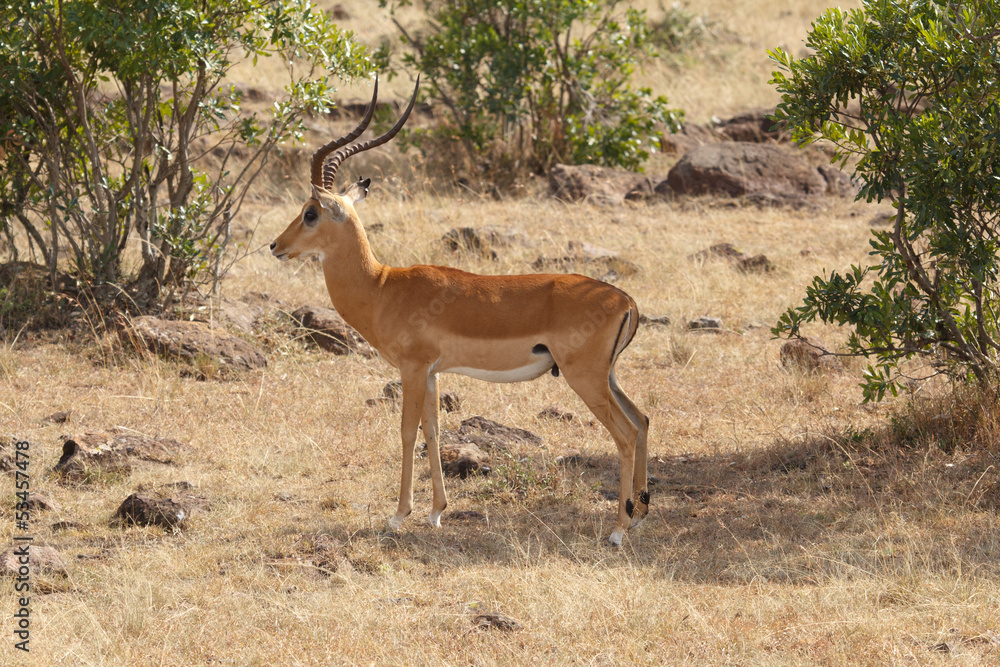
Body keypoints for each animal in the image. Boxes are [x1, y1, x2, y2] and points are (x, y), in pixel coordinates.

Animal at [270, 77, 650, 545]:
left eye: (310, 213)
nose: (276, 245)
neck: (382, 286)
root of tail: (626, 301)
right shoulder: (433, 373)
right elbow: (432, 432)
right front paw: (436, 512)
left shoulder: (413, 369)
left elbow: (406, 432)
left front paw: (399, 516)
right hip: (606, 376)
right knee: (643, 419)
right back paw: (641, 513)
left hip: (586, 378)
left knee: (626, 434)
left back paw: (618, 531)